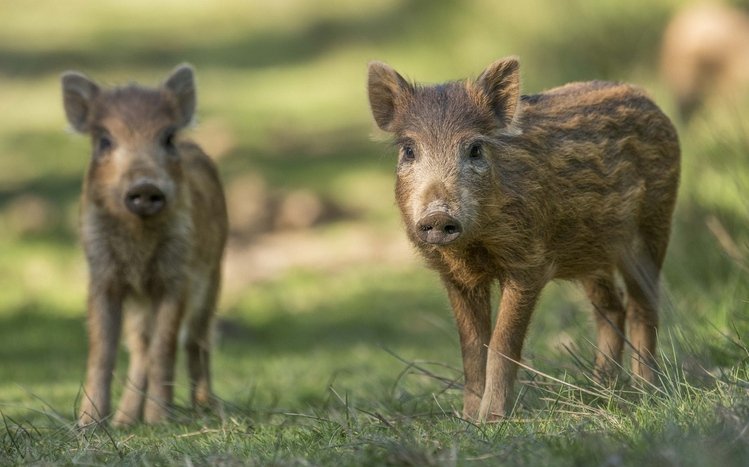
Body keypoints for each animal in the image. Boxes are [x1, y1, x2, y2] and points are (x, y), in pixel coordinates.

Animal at [62, 64, 228, 426]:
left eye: (168, 138)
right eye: (104, 140)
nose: (146, 186)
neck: (138, 244)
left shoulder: (176, 278)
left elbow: (165, 346)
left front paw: (159, 422)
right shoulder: (103, 278)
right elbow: (102, 349)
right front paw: (88, 425)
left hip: (213, 279)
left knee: (197, 339)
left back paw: (205, 408)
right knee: (140, 348)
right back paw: (125, 421)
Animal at [367, 57, 680, 422]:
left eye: (475, 148)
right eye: (408, 150)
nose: (438, 216)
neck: (474, 247)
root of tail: (648, 99)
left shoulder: (528, 263)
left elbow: (502, 343)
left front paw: (490, 420)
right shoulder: (455, 277)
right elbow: (472, 348)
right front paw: (468, 419)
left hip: (653, 226)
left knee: (644, 303)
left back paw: (646, 390)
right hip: (590, 255)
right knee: (611, 306)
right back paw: (601, 388)